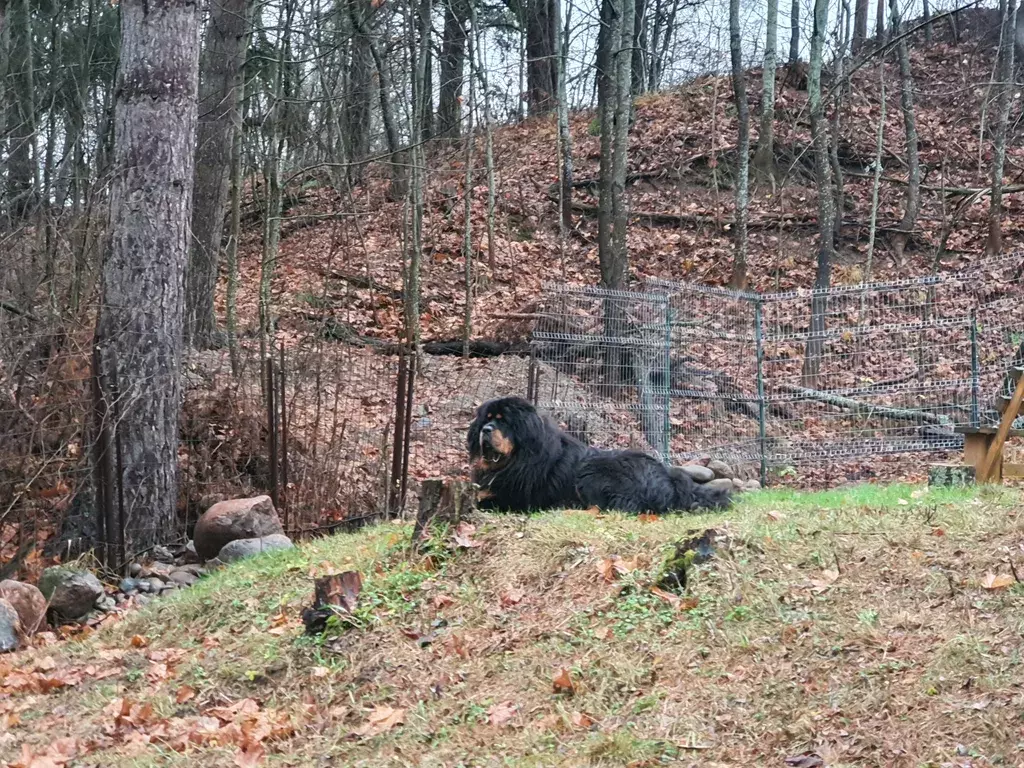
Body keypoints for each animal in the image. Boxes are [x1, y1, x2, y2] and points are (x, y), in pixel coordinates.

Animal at [468, 397, 733, 518]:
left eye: (504, 421)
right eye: (487, 419)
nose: (486, 430)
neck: (515, 459)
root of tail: (668, 477)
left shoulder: (515, 499)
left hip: (592, 473)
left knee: (608, 508)